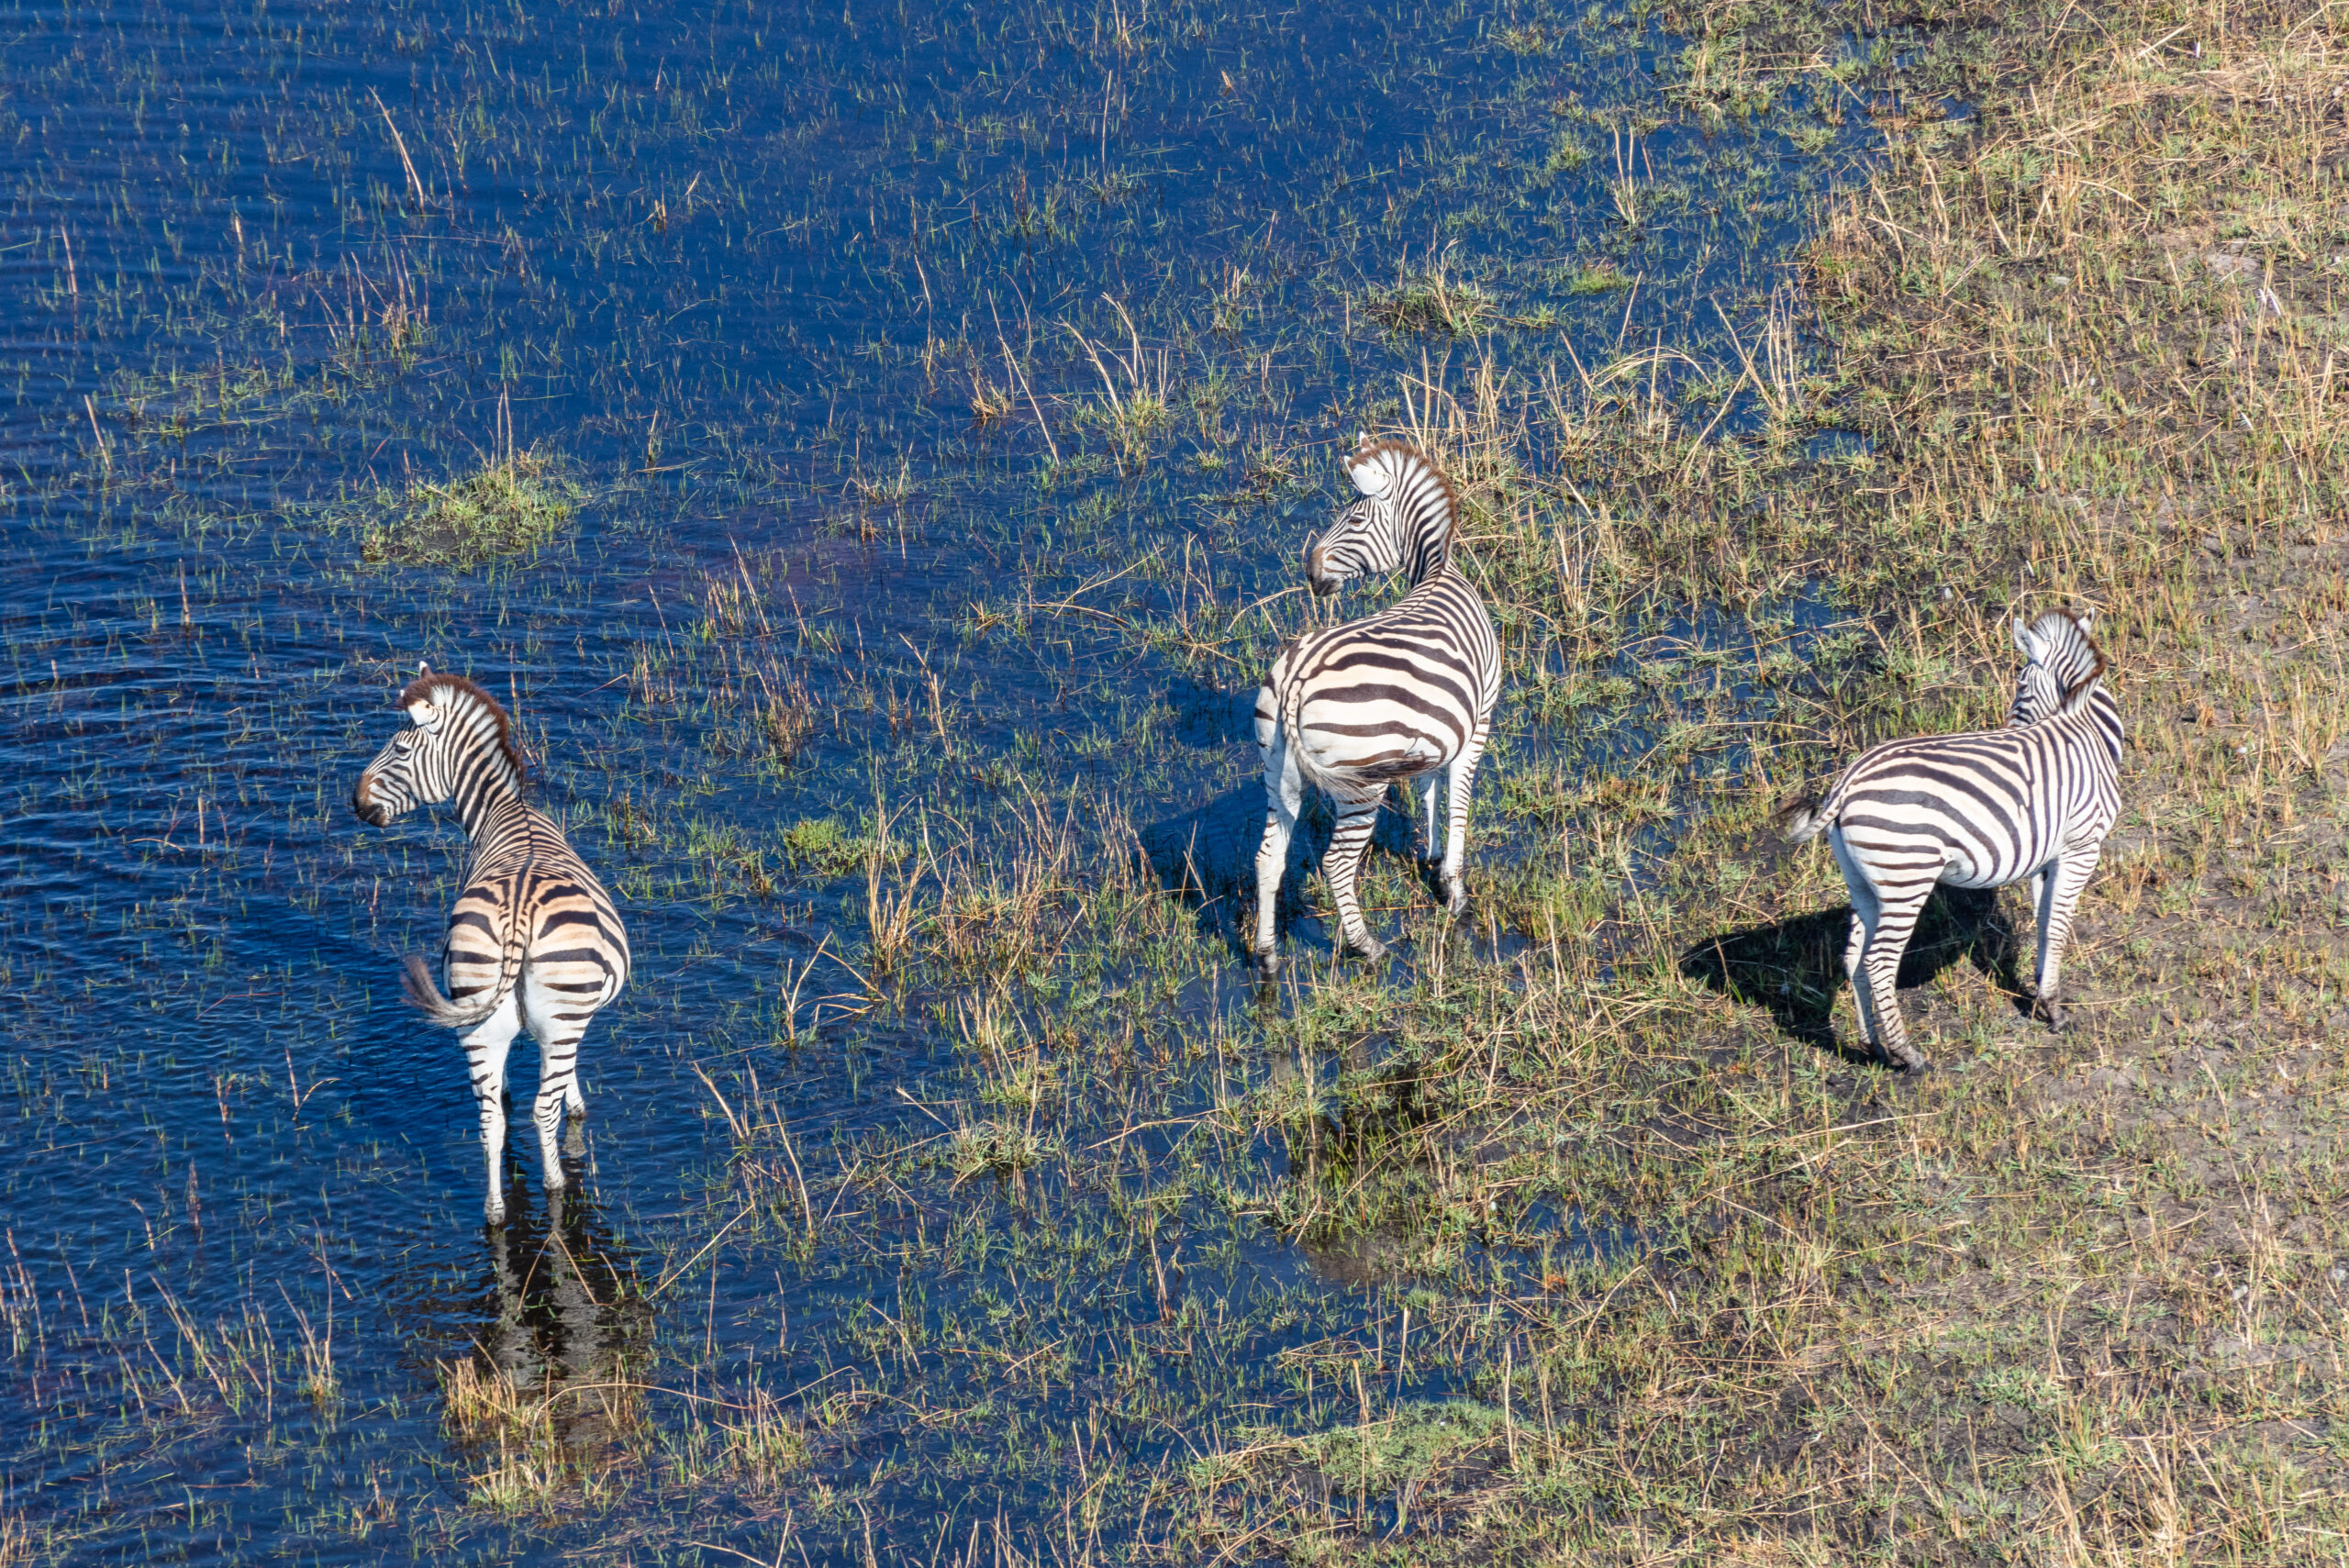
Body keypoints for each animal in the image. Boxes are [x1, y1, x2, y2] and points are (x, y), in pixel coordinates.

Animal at [352, 664, 631, 1225]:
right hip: (556, 1015)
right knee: (541, 1113)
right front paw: (576, 1103)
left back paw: (495, 1212)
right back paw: (553, 1187)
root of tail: (520, 914)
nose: (356, 801)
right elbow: (565, 1091)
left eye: (398, 749)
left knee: (489, 1121)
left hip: (476, 1011)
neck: (508, 814)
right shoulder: (570, 1022)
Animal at [1251, 439, 1501, 975]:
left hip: (1278, 769)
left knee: (1268, 857)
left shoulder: (1435, 733)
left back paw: (1267, 955)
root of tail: (1295, 681)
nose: (1311, 571)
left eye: (1355, 520)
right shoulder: (1478, 724)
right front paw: (1454, 889)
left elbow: (1430, 791)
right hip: (1361, 783)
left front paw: (1430, 859)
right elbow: (1459, 803)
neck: (1437, 574)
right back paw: (1367, 946)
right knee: (1336, 864)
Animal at [1776, 608, 2121, 1070]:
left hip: (1862, 881)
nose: (2005, 729)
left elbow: (2045, 920)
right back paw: (1910, 1055)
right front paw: (2054, 1009)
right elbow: (2058, 925)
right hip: (1907, 876)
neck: (2085, 728)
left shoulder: (2049, 856)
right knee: (1880, 963)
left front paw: (2041, 995)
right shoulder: (2083, 847)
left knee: (1853, 959)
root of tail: (1846, 782)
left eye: (2019, 684)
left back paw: (1875, 1048)